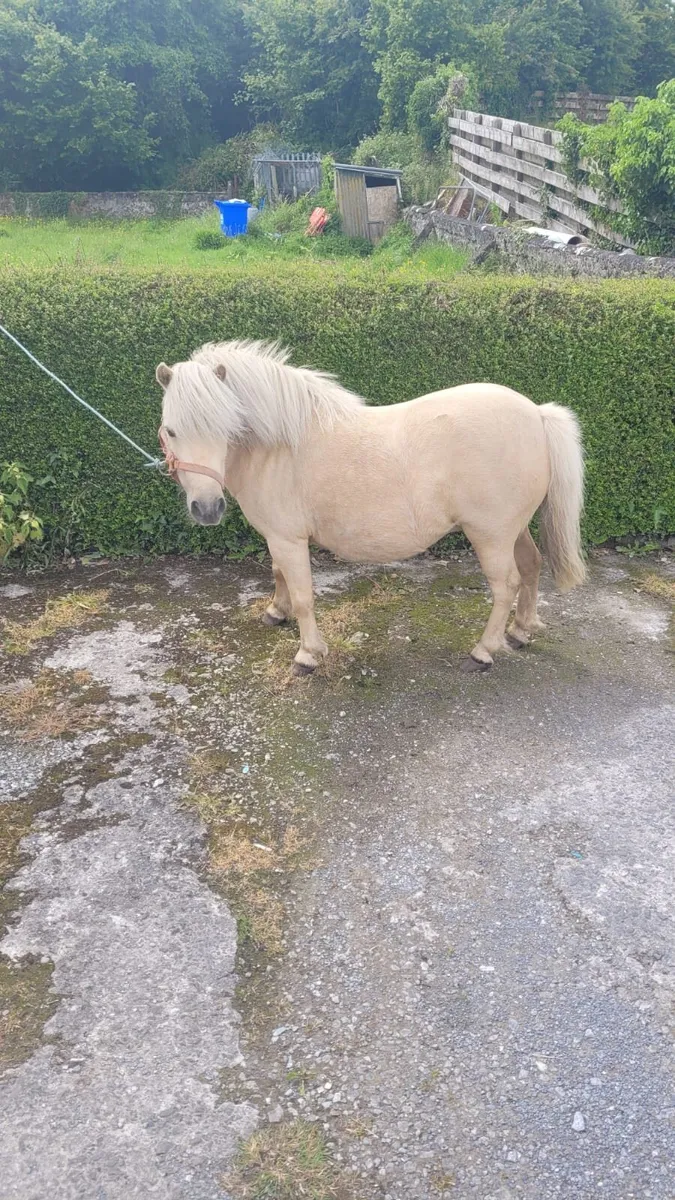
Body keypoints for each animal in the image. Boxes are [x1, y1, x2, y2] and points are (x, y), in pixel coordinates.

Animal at [155, 340, 585, 676]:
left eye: (226, 428)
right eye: (172, 430)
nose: (207, 508)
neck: (279, 445)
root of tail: (537, 414)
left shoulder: (288, 539)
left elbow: (303, 594)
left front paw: (308, 655)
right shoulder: (278, 537)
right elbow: (279, 575)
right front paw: (276, 613)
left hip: (491, 535)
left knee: (506, 584)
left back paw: (483, 652)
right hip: (514, 529)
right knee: (531, 566)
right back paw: (520, 632)